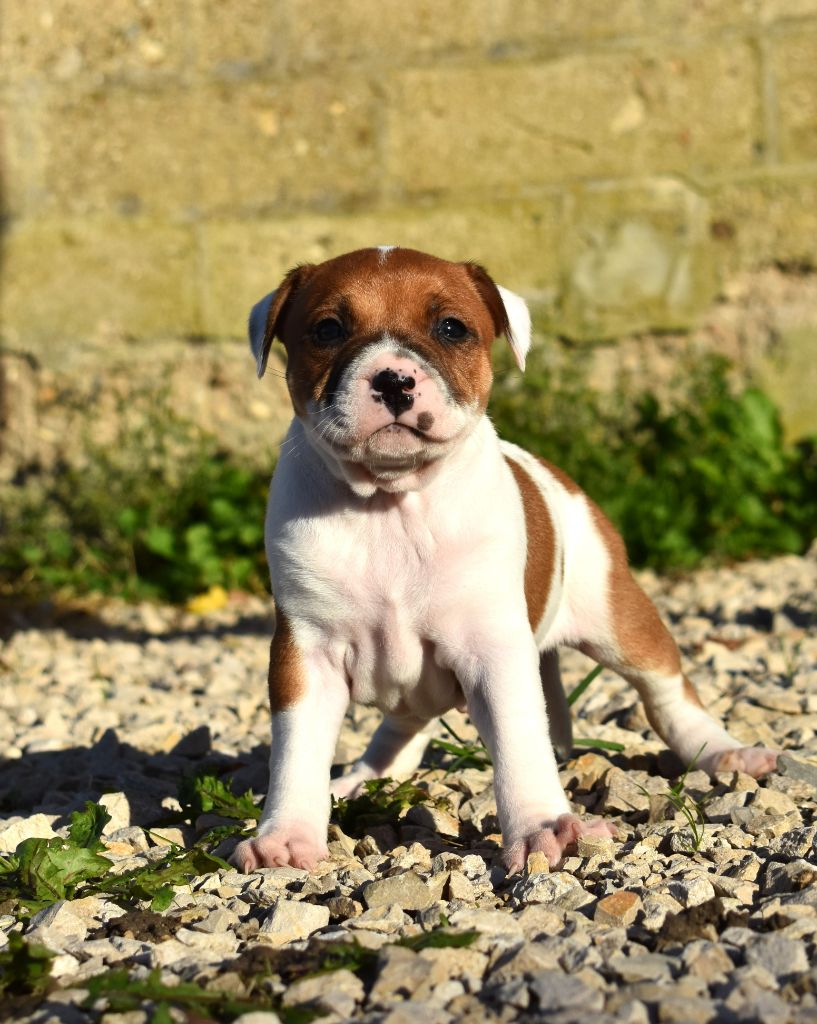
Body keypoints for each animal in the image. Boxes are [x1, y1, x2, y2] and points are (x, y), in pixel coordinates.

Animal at [233, 245, 778, 872]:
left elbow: (520, 740)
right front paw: (285, 836)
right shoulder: (307, 652)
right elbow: (296, 751)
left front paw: (542, 827)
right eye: (327, 330)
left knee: (667, 693)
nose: (394, 378)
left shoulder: (491, 648)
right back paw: (363, 777)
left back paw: (726, 754)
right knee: (405, 724)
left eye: (451, 328)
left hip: (620, 619)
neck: (391, 503)